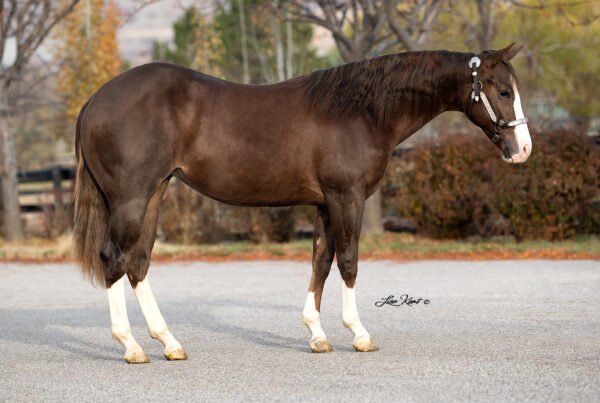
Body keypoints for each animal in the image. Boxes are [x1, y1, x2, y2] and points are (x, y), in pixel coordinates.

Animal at [74, 43, 528, 362]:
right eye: (504, 90)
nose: (522, 150)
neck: (361, 110)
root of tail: (94, 101)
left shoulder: (326, 203)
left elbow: (321, 261)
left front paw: (317, 335)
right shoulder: (347, 197)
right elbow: (348, 261)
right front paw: (359, 334)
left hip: (154, 194)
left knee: (138, 263)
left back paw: (169, 343)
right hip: (131, 199)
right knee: (113, 258)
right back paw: (131, 347)